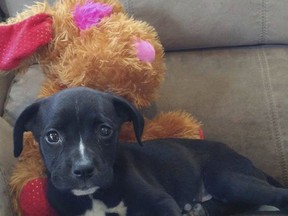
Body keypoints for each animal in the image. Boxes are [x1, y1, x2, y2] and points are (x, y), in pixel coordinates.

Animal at [14, 87, 288, 215]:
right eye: (52, 136)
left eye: (105, 130)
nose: (83, 171)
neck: (95, 196)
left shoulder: (161, 202)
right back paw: (197, 209)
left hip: (226, 177)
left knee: (276, 196)